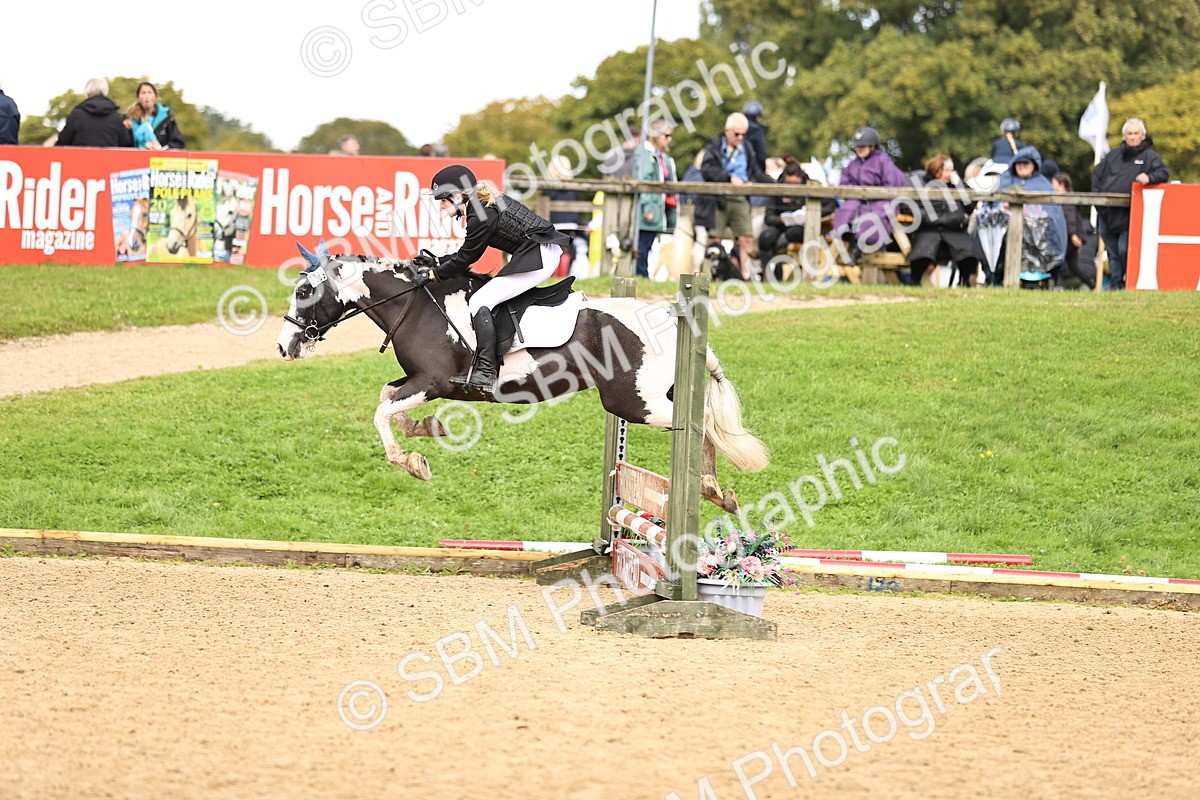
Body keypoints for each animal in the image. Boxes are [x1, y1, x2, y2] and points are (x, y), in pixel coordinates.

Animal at [274, 246, 770, 512]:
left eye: (304, 292)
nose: (284, 347)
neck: (414, 305)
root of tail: (669, 320)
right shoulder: (418, 381)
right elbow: (387, 399)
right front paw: (427, 429)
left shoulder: (431, 382)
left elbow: (381, 413)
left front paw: (413, 462)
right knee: (703, 419)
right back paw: (713, 489)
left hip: (633, 402)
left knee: (700, 421)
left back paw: (709, 488)